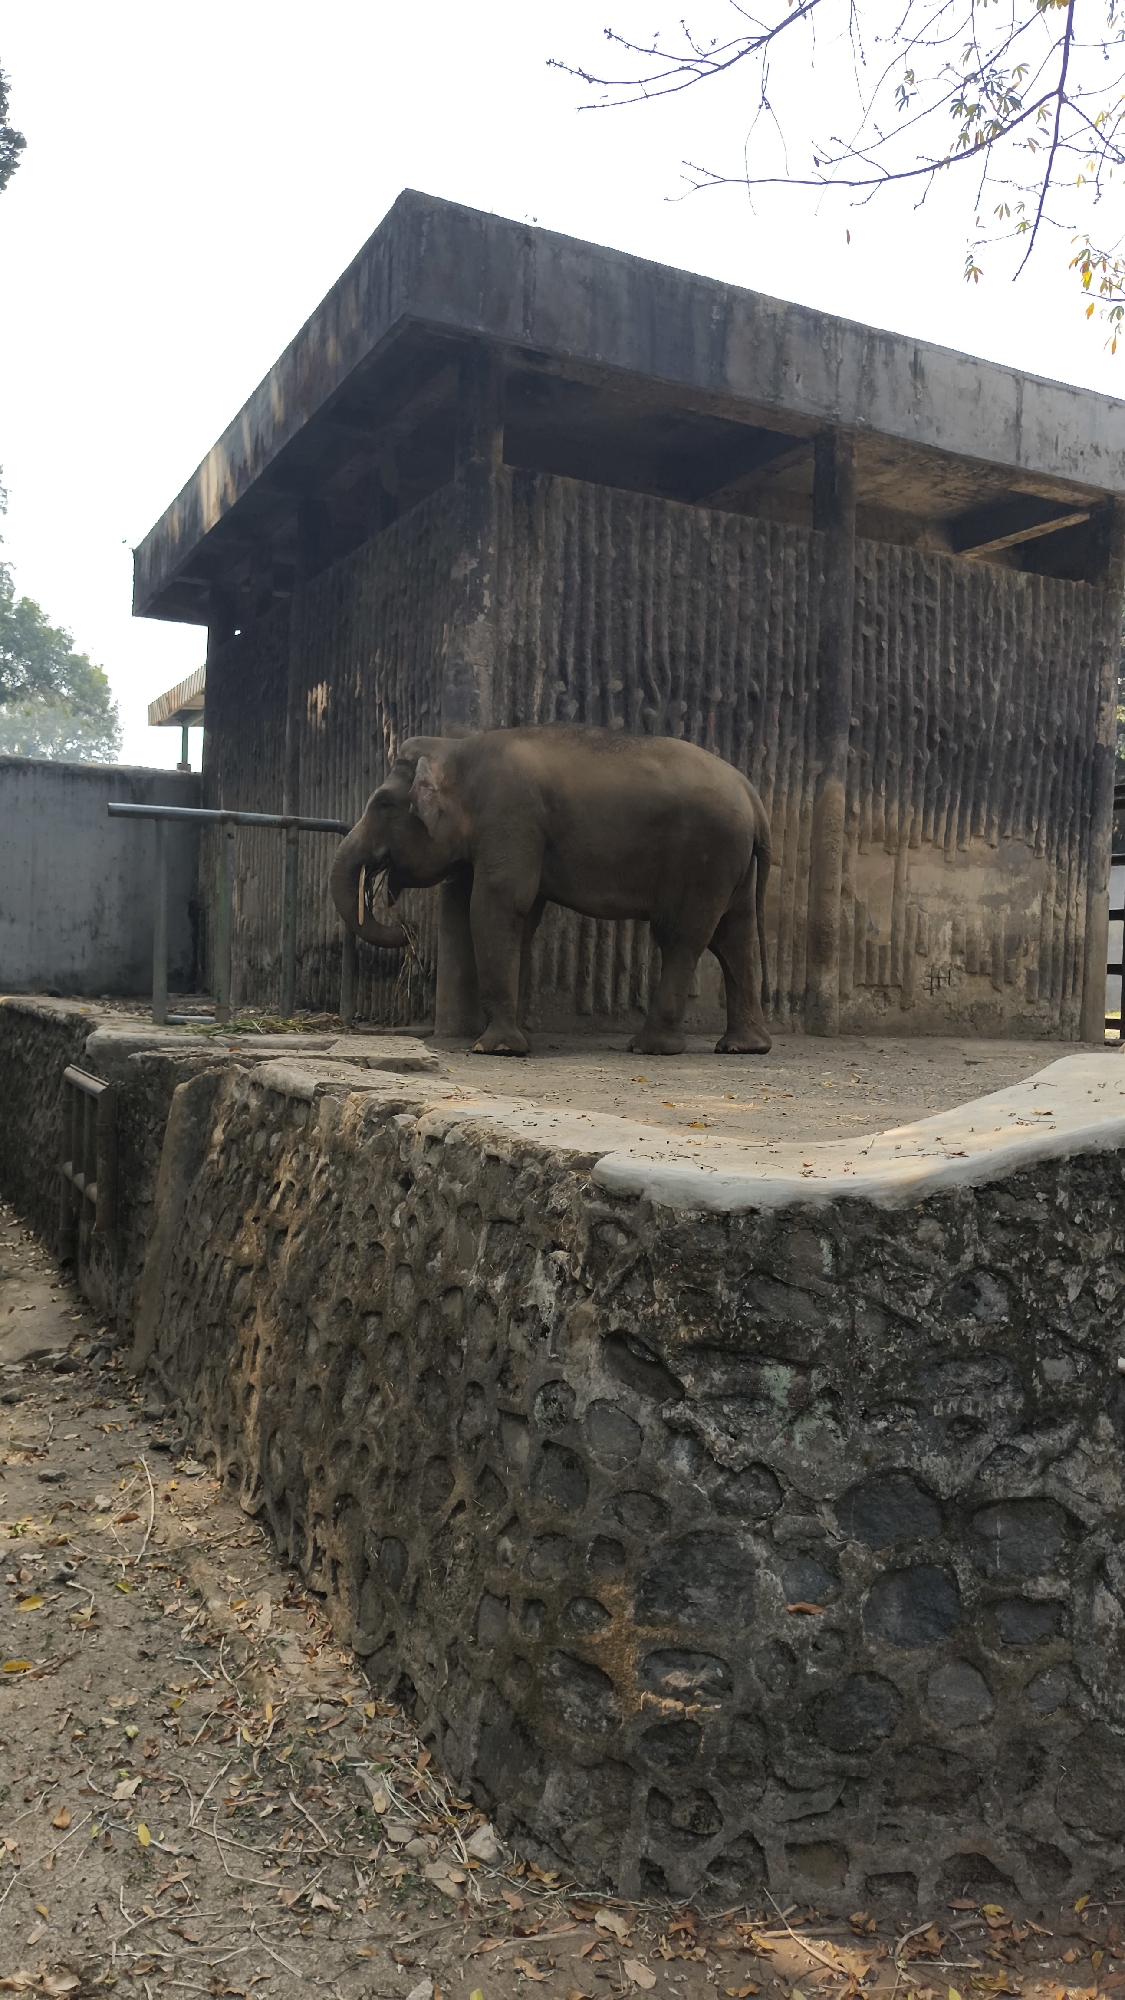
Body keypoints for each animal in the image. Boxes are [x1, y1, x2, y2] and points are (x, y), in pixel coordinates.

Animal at [329, 725, 772, 1058]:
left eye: (383, 804)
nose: (409, 930)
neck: (457, 749)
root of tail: (752, 793)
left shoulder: (509, 815)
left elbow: (497, 904)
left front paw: (497, 1049)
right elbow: (525, 919)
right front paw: (521, 1038)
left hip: (705, 855)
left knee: (682, 936)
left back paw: (649, 1047)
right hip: (732, 862)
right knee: (736, 935)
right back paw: (742, 1047)